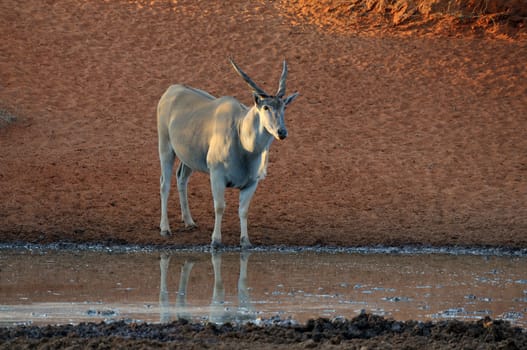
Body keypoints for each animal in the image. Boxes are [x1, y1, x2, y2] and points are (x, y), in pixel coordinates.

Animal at [157, 58, 300, 247]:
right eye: (266, 108)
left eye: (284, 107)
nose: (282, 132)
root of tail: (171, 90)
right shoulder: (216, 174)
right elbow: (219, 206)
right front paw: (216, 240)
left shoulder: (252, 182)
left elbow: (243, 210)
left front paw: (245, 241)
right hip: (165, 147)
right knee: (164, 184)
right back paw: (165, 229)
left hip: (188, 157)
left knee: (181, 178)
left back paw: (189, 222)